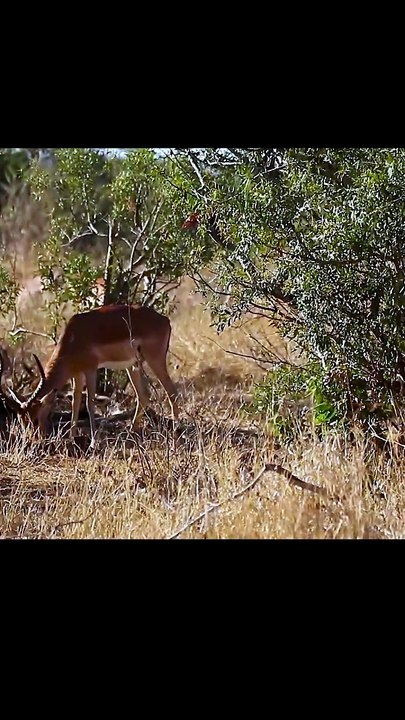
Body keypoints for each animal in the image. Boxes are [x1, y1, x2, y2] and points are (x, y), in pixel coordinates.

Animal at [2, 304, 179, 448]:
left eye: (35, 419)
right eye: (21, 420)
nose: (31, 439)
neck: (74, 337)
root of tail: (165, 320)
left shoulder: (91, 369)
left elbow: (89, 403)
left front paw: (94, 442)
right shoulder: (77, 374)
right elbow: (75, 402)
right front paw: (71, 438)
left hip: (154, 360)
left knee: (172, 392)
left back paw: (175, 434)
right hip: (133, 366)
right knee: (143, 395)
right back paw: (131, 433)